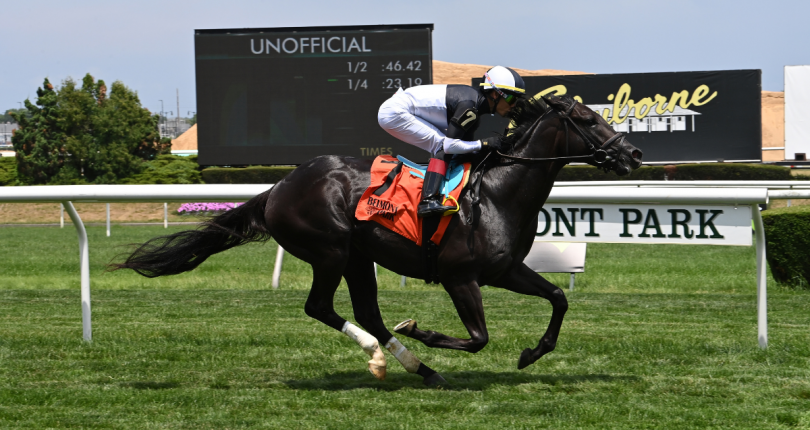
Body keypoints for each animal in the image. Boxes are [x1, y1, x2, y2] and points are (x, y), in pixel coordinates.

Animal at [113, 95, 644, 384]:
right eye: (590, 121)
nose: (635, 154)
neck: (498, 192)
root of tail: (277, 187)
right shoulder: (459, 277)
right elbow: (478, 338)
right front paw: (423, 331)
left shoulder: (505, 270)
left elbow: (557, 297)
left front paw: (532, 353)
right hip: (329, 250)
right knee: (320, 308)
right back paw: (387, 355)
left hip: (356, 257)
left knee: (366, 311)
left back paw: (416, 367)